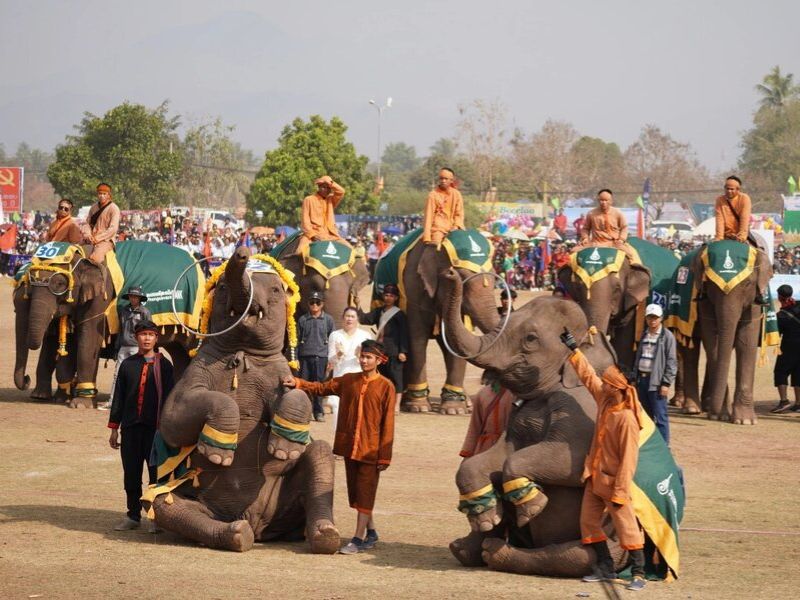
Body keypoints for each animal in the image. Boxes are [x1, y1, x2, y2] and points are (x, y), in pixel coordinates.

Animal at [145, 247, 340, 552]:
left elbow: (297, 394)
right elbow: (172, 423)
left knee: (319, 451)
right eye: (223, 287)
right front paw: (218, 453)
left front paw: (284, 451)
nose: (242, 252)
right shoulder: (196, 371)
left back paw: (326, 535)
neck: (242, 353)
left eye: (275, 290)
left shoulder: (278, 371)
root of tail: (258, 525)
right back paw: (237, 533)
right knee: (163, 504)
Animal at [438, 268, 632, 576]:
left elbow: (572, 463)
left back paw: (494, 551)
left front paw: (533, 507)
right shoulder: (517, 416)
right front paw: (488, 517)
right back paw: (469, 546)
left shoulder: (583, 410)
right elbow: (493, 456)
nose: (450, 272)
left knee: (579, 556)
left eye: (530, 339)